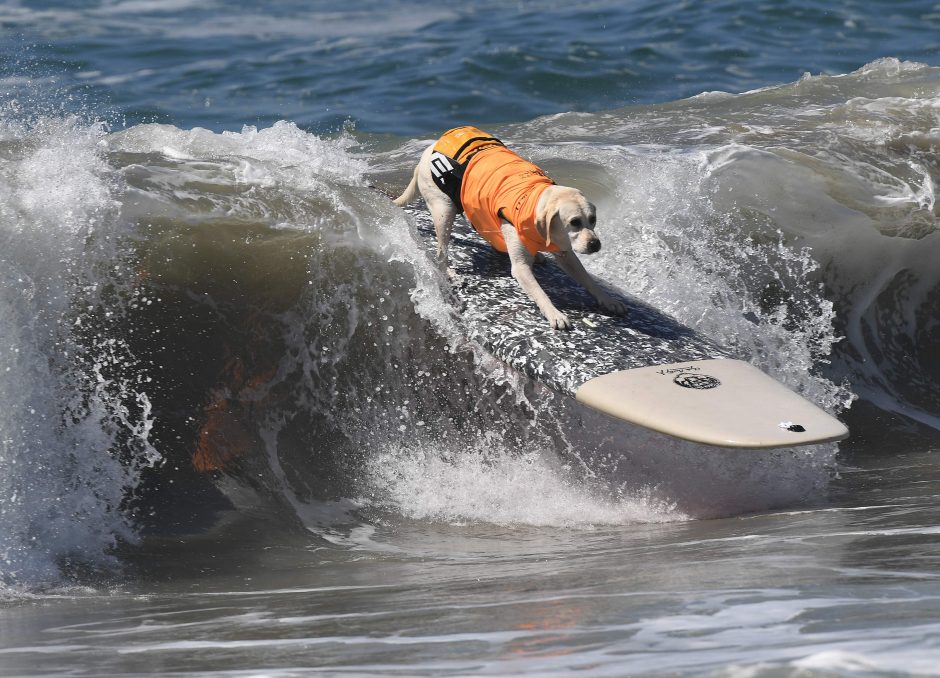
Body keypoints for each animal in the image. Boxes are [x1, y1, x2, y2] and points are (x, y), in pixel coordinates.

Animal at [394, 128, 624, 332]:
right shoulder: (521, 268)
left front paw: (607, 299)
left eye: (592, 220)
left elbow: (587, 279)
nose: (595, 244)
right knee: (441, 253)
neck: (535, 202)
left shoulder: (566, 253)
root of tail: (426, 153)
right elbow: (540, 292)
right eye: (574, 222)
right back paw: (450, 272)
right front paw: (554, 313)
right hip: (444, 211)